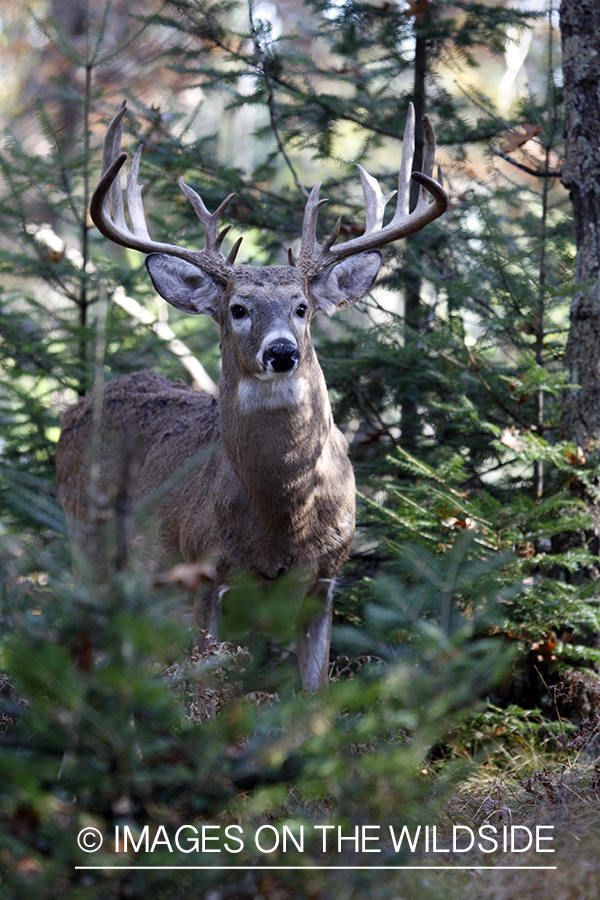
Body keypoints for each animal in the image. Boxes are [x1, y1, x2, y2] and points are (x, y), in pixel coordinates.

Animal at [56, 100, 448, 688]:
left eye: (302, 307)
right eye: (238, 308)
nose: (282, 351)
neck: (282, 525)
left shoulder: (326, 583)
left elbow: (315, 695)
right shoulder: (202, 577)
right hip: (88, 545)